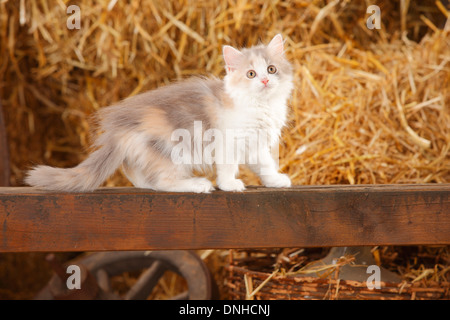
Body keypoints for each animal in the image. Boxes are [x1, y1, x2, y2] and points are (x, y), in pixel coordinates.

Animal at [24, 34, 294, 192]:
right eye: (251, 74)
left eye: (271, 69)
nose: (264, 81)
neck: (261, 105)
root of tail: (118, 130)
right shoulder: (227, 140)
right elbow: (227, 166)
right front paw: (229, 185)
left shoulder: (256, 143)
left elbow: (265, 164)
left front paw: (275, 180)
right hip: (171, 151)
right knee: (163, 183)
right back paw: (197, 184)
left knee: (143, 179)